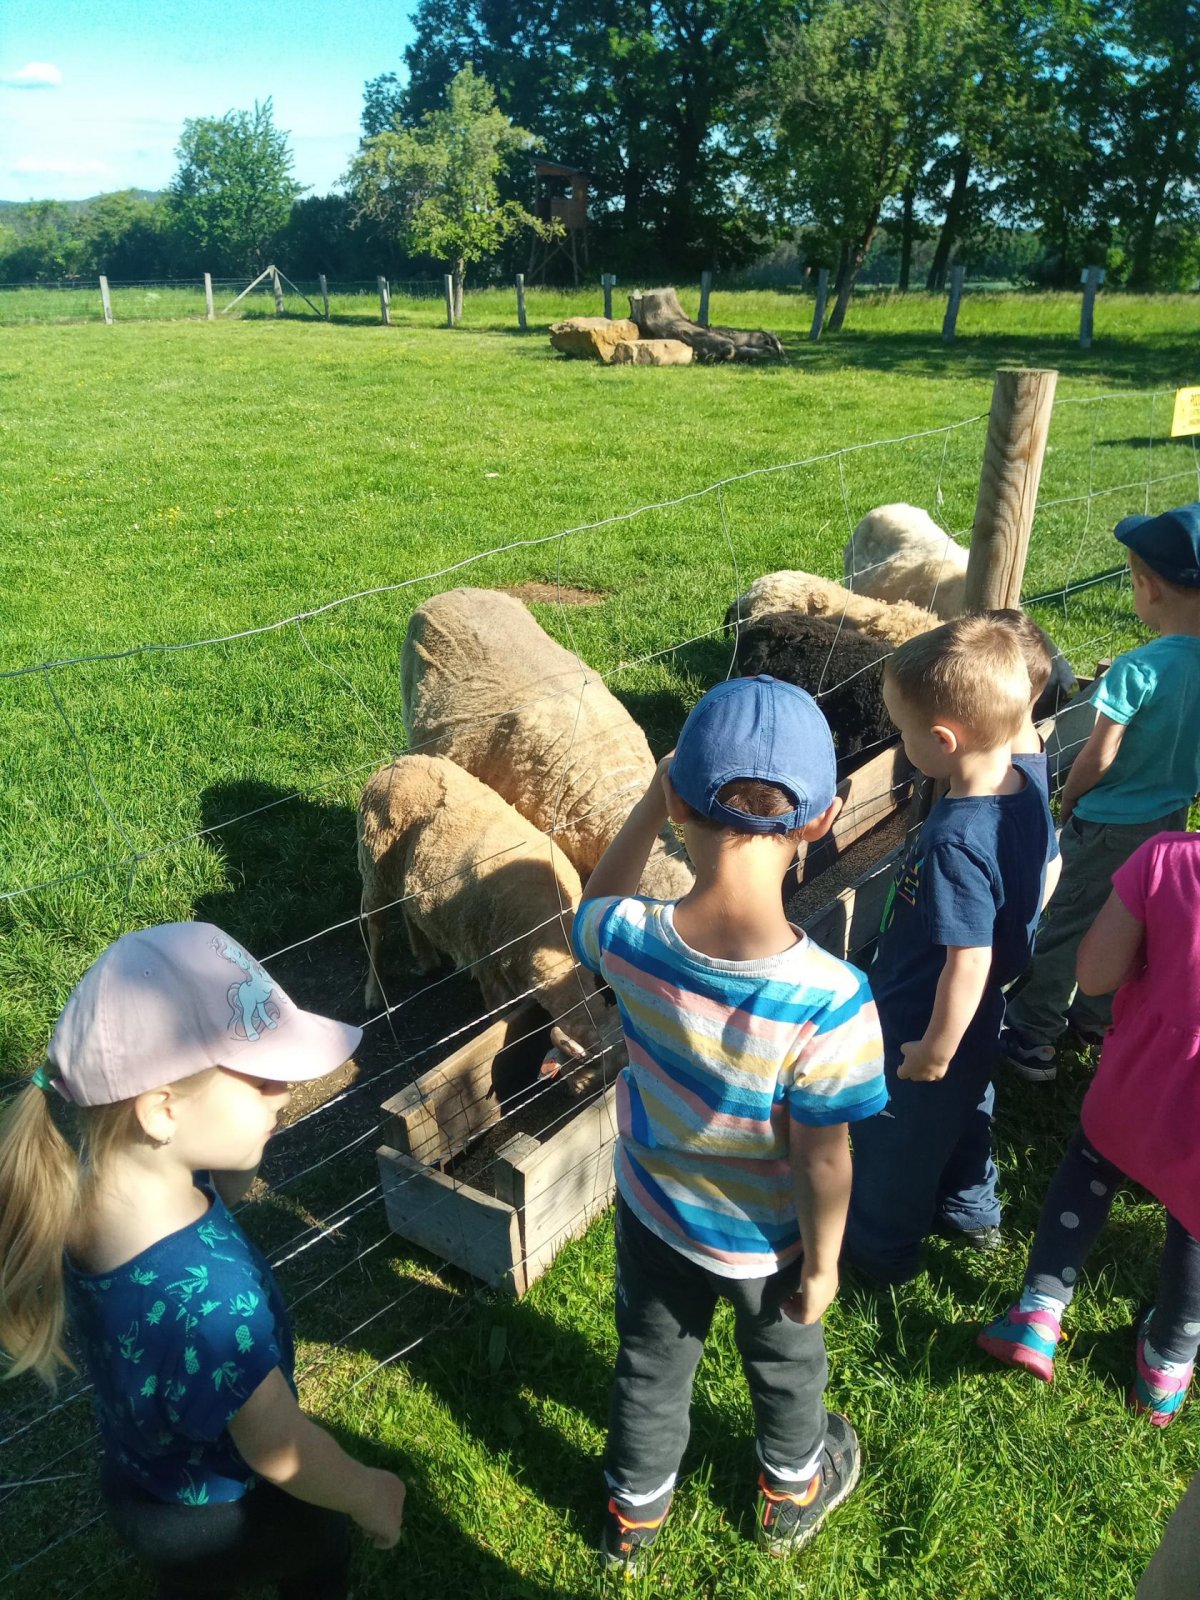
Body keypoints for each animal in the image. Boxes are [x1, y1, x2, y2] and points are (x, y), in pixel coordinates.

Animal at [358, 753, 621, 1089]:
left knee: (408, 911)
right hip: (373, 868)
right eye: (590, 1081)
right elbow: (499, 1019)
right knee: (375, 928)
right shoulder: (487, 968)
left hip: (403, 874)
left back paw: (427, 959)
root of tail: (396, 763)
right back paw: (373, 994)